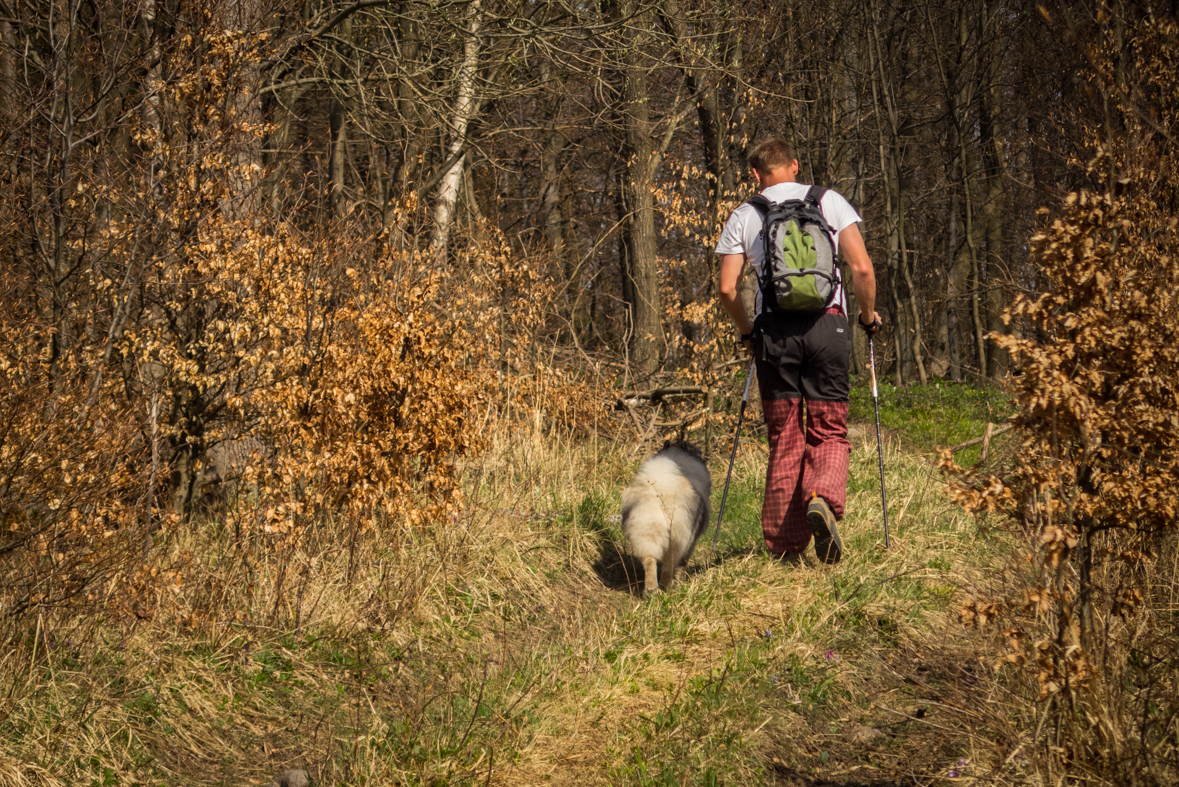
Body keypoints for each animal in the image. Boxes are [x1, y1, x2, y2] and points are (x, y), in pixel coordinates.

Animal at [622, 440, 712, 593]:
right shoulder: (691, 542)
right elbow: (682, 564)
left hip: (645, 535)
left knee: (650, 561)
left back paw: (651, 590)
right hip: (677, 542)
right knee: (668, 568)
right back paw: (667, 588)